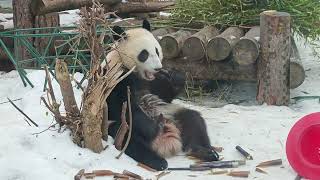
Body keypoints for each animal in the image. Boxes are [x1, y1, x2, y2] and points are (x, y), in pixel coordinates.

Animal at [105, 20, 220, 171]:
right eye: (144, 54)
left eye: (157, 50)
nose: (157, 68)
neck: (138, 74)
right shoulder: (116, 77)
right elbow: (122, 106)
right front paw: (152, 128)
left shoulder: (155, 82)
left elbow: (164, 94)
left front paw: (175, 77)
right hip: (119, 125)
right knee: (127, 137)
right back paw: (157, 161)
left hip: (171, 112)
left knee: (193, 120)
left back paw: (204, 151)